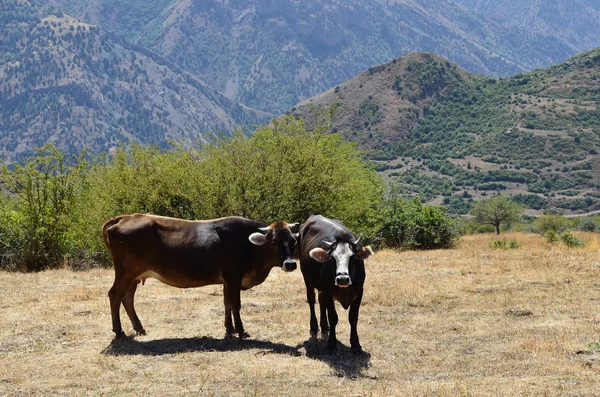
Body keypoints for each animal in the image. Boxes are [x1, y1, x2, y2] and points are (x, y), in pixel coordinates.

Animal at [105, 213, 300, 338]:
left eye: (292, 241)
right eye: (273, 242)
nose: (290, 264)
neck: (247, 244)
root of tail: (126, 217)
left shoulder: (226, 280)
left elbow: (227, 303)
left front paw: (230, 329)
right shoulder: (233, 277)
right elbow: (236, 305)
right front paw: (241, 331)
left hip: (133, 276)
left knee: (127, 298)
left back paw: (139, 328)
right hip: (125, 273)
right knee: (115, 295)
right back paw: (119, 331)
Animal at [298, 215, 372, 352]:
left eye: (353, 257)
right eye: (332, 258)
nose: (342, 278)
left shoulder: (359, 291)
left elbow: (353, 317)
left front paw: (355, 344)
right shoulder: (328, 291)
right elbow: (333, 317)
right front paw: (332, 343)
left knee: (321, 301)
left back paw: (324, 326)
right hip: (306, 278)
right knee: (311, 300)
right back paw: (314, 327)